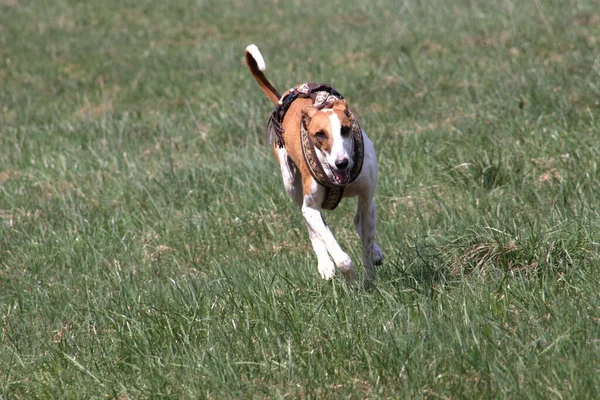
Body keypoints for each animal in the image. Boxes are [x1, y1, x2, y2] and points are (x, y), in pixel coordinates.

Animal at [245, 44, 382, 284]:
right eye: (320, 134)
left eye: (345, 129)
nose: (342, 163)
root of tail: (284, 98)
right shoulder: (311, 207)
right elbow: (339, 254)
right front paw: (352, 278)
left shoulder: (366, 198)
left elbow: (365, 237)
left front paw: (369, 278)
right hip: (292, 185)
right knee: (311, 225)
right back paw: (325, 265)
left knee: (358, 220)